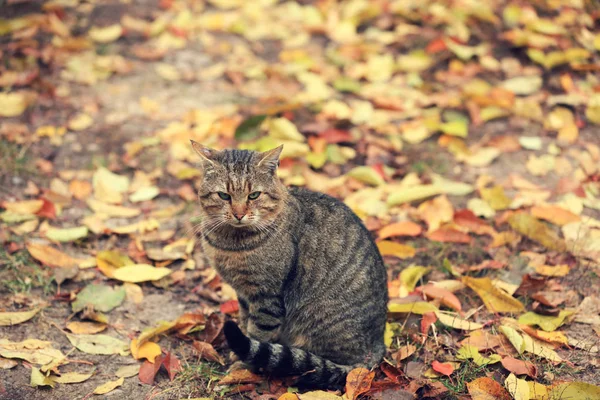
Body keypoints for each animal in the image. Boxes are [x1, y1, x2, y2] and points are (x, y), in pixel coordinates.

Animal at [192, 141, 390, 388]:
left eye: (254, 195)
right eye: (224, 195)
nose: (238, 214)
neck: (230, 244)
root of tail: (377, 346)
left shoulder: (266, 297)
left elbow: (256, 335)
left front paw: (243, 368)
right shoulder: (244, 293)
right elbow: (245, 322)